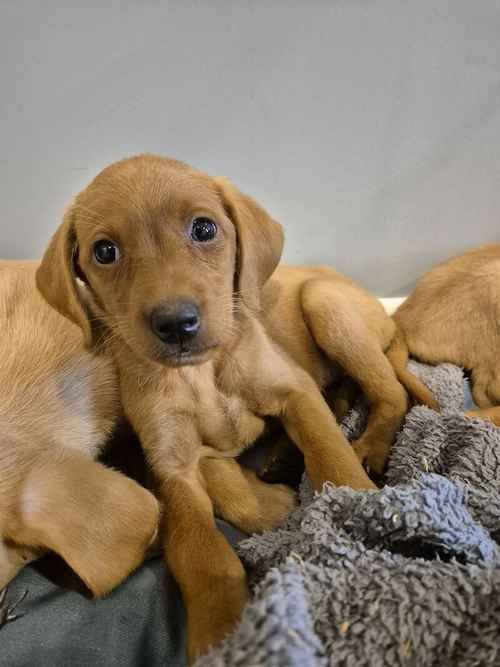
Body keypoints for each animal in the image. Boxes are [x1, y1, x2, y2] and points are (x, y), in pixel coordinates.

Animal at [36, 155, 414, 664]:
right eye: (105, 251)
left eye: (204, 228)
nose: (176, 323)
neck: (200, 375)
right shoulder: (174, 462)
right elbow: (206, 555)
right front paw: (225, 632)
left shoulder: (294, 391)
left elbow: (330, 454)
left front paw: (360, 514)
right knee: (350, 392)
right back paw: (284, 456)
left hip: (325, 302)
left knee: (390, 391)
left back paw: (369, 445)